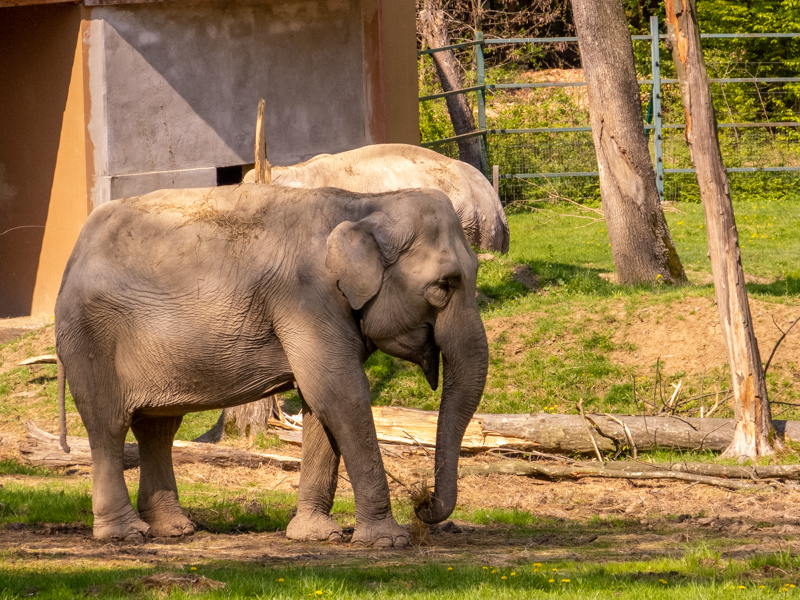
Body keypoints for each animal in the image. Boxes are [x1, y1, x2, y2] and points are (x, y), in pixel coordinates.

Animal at [54, 183, 489, 546]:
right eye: (444, 286)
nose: (422, 502)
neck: (364, 202)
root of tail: (72, 257)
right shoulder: (307, 298)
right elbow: (341, 393)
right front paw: (388, 541)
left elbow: (320, 402)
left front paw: (316, 536)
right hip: (91, 338)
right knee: (109, 425)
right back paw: (126, 535)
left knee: (158, 427)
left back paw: (174, 530)